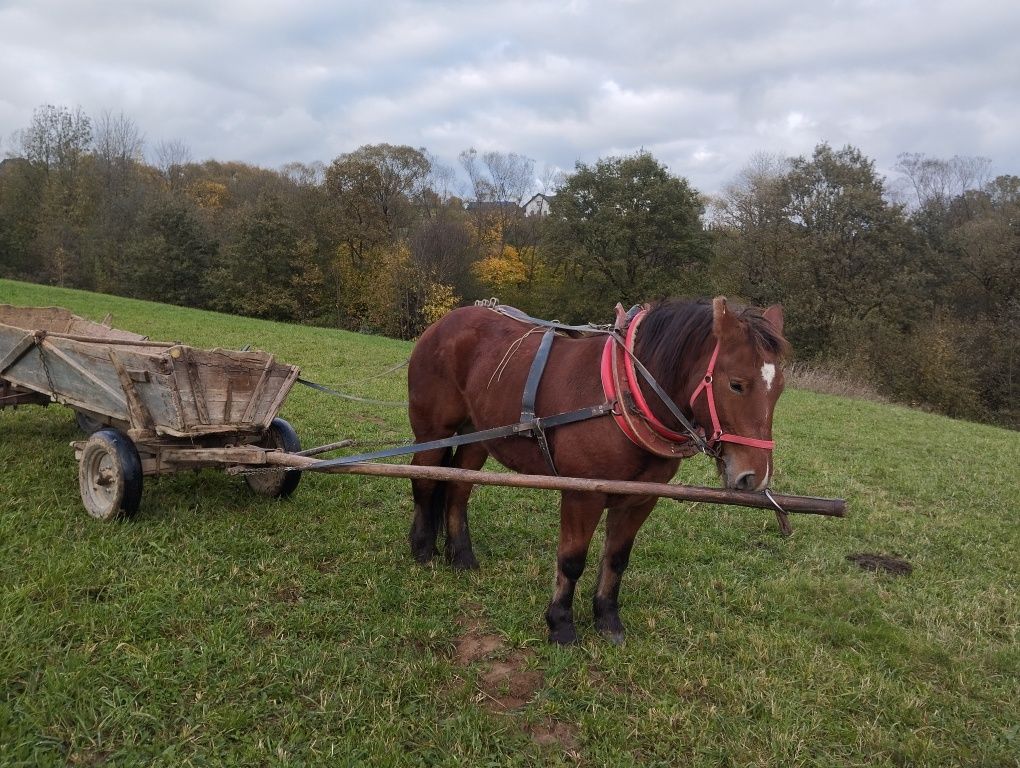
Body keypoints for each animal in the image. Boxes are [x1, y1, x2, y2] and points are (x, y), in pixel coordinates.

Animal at [405, 295, 787, 644]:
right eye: (736, 384)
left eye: (780, 389)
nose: (754, 476)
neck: (625, 396)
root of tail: (445, 323)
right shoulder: (582, 494)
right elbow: (572, 560)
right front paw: (560, 624)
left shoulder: (640, 499)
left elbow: (616, 559)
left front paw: (607, 620)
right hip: (432, 432)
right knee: (424, 480)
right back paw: (423, 550)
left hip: (478, 435)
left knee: (457, 488)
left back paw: (462, 556)